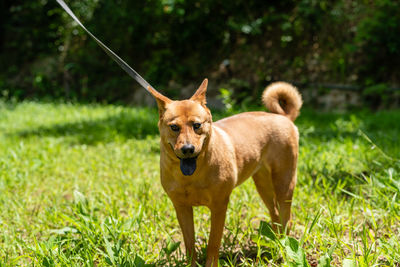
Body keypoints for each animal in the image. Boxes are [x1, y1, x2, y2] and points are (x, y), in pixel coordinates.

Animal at [148, 80, 302, 267]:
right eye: (174, 127)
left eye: (197, 125)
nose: (188, 149)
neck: (192, 176)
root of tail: (283, 117)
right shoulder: (182, 208)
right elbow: (189, 245)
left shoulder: (219, 206)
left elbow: (213, 243)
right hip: (263, 186)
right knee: (275, 215)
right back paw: (275, 243)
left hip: (284, 184)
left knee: (287, 218)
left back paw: (284, 249)